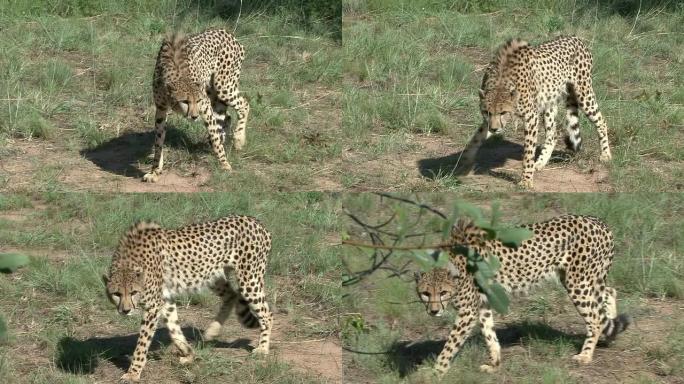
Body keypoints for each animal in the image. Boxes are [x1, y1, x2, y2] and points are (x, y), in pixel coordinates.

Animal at [102, 216, 272, 384]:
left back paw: (263, 348)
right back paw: (212, 332)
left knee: (267, 314)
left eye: (133, 292)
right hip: (212, 276)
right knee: (232, 295)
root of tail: (256, 222)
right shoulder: (165, 299)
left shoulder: (153, 306)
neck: (129, 261)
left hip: (249, 279)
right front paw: (188, 353)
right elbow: (174, 328)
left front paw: (133, 373)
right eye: (116, 294)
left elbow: (142, 342)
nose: (125, 310)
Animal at [143, 28, 250, 182]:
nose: (194, 116)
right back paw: (223, 136)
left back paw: (238, 139)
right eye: (185, 101)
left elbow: (214, 137)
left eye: (197, 101)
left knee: (244, 104)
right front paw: (155, 171)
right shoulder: (161, 108)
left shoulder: (204, 105)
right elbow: (158, 142)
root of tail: (227, 32)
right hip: (214, 93)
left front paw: (225, 165)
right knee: (226, 116)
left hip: (223, 87)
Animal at [414, 214, 628, 380]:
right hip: (588, 279)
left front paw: (435, 372)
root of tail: (598, 221)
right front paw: (494, 364)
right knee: (609, 294)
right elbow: (489, 335)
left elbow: (450, 346)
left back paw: (586, 355)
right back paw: (609, 337)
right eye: (426, 293)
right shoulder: (482, 304)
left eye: (443, 292)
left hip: (578, 283)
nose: (433, 311)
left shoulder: (468, 311)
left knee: (595, 318)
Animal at [456, 36, 612, 190]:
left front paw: (526, 180)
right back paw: (540, 163)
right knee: (553, 134)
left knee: (601, 121)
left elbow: (528, 151)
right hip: (549, 103)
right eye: (487, 112)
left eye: (503, 112)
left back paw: (606, 154)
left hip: (583, 93)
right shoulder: (489, 120)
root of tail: (576, 38)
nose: (494, 129)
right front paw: (464, 163)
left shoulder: (531, 116)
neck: (501, 80)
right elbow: (476, 138)